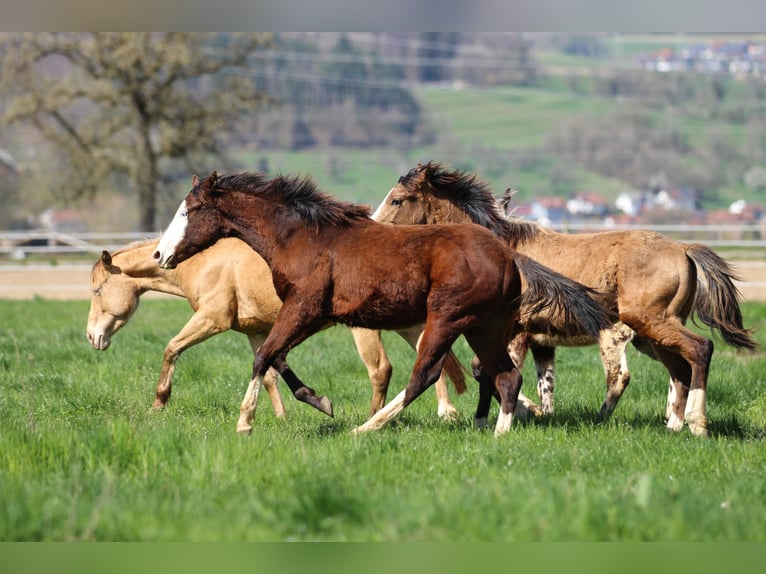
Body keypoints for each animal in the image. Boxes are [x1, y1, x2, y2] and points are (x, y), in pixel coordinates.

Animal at [86, 237, 468, 420]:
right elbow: (270, 371)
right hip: (408, 322)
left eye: (97, 290)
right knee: (430, 358)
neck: (204, 262)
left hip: (366, 328)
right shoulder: (256, 332)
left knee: (381, 370)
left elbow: (171, 348)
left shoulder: (212, 320)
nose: (93, 337)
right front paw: (292, 411)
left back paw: (375, 418)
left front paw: (159, 403)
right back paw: (445, 412)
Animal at [152, 171, 612, 436]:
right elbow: (276, 357)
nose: (160, 254)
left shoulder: (303, 308)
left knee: (426, 374)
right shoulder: (310, 315)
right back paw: (498, 433)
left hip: (448, 318)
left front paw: (245, 422)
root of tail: (508, 255)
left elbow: (264, 355)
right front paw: (319, 401)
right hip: (483, 327)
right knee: (504, 376)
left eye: (190, 210)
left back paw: (366, 427)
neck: (302, 238)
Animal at [372, 162, 757, 436]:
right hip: (653, 332)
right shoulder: (532, 339)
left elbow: (495, 372)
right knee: (679, 369)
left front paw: (515, 415)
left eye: (396, 199)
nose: (373, 228)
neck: (502, 246)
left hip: (650, 323)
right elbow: (507, 375)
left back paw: (694, 423)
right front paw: (504, 417)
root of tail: (684, 248)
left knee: (698, 351)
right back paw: (672, 425)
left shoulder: (515, 333)